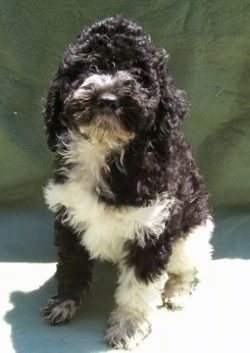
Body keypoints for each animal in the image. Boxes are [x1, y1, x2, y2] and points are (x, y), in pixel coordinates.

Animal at [40, 17, 214, 348]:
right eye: (86, 69)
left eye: (139, 76)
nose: (107, 99)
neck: (106, 150)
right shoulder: (68, 215)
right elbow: (71, 263)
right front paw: (65, 302)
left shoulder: (151, 229)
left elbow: (137, 288)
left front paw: (128, 326)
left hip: (193, 235)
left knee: (185, 267)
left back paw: (176, 292)